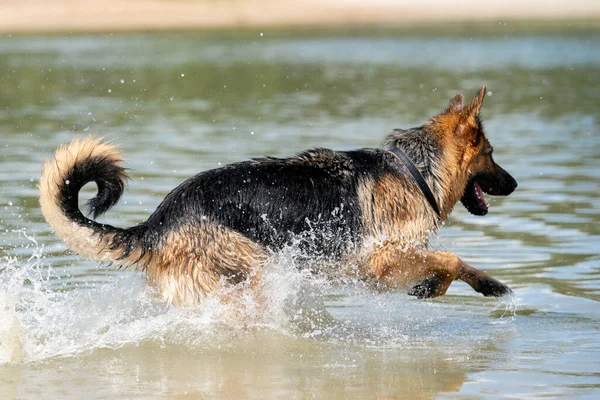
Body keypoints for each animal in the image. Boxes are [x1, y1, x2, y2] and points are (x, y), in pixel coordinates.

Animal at [39, 86, 516, 306]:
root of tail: (158, 221)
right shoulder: (377, 259)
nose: (513, 184)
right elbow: (449, 258)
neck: (414, 169)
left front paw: (465, 285)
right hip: (253, 266)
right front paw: (458, 284)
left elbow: (451, 263)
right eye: (491, 154)